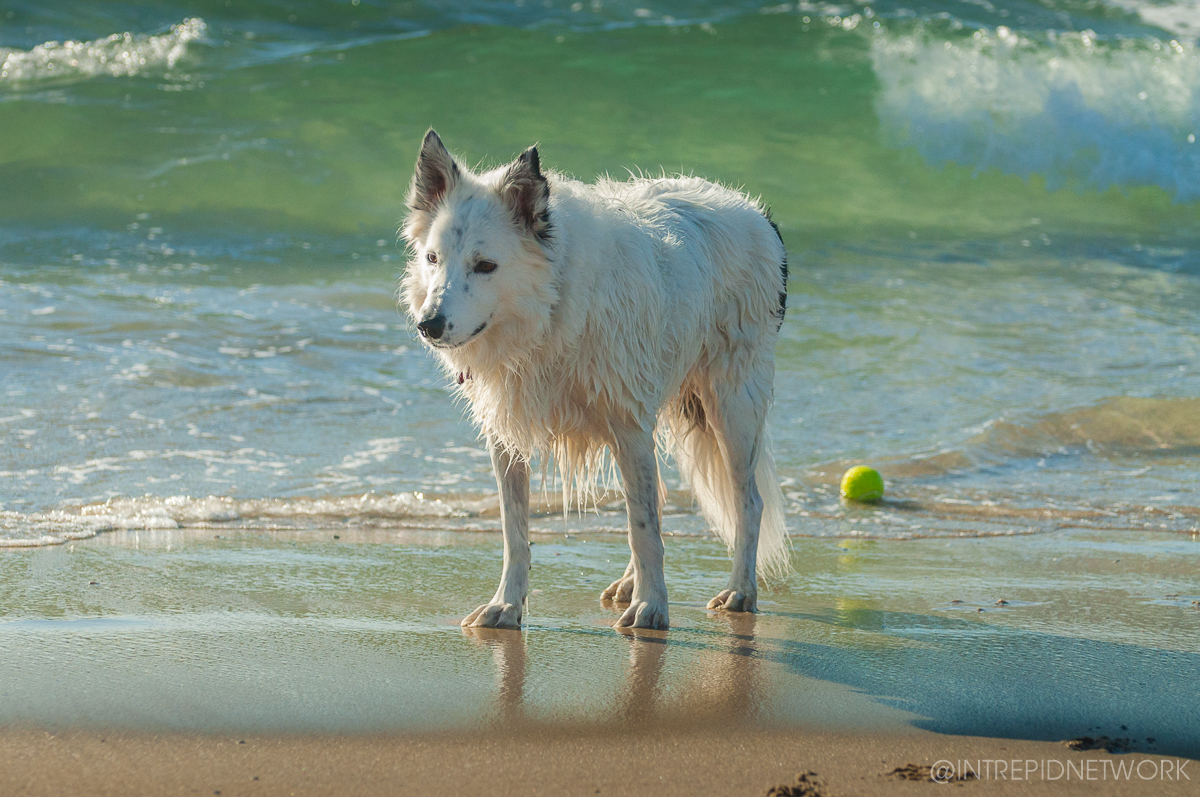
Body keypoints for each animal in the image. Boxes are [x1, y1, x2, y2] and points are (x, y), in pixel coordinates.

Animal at [400, 130, 787, 628]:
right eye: (432, 259)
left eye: (485, 265)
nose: (428, 324)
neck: (551, 311)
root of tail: (753, 211)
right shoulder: (509, 435)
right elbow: (515, 531)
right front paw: (506, 604)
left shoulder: (628, 423)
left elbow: (643, 527)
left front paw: (652, 607)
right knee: (660, 496)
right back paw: (630, 584)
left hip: (732, 406)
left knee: (747, 502)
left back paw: (740, 591)